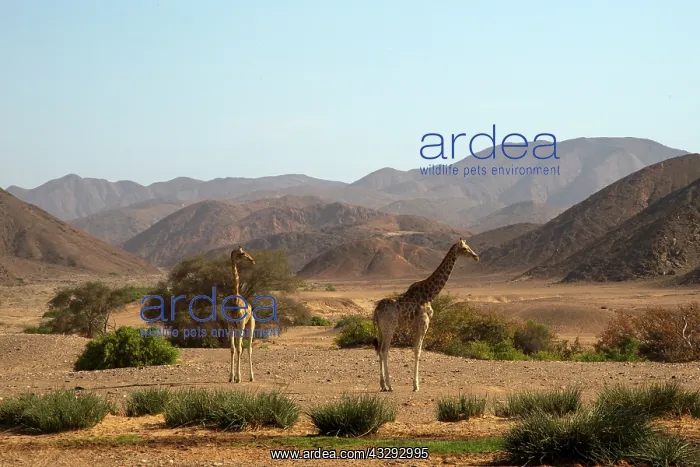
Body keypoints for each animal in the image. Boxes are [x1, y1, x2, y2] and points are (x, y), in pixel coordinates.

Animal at [372, 238, 479, 392]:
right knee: (384, 350)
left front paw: (415, 384)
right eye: (464, 248)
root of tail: (376, 311)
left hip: (381, 329)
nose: (476, 256)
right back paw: (389, 385)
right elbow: (418, 351)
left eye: (469, 246)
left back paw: (382, 385)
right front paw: (416, 385)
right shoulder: (424, 323)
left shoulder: (416, 325)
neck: (430, 295)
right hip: (390, 327)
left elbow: (416, 349)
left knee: (379, 349)